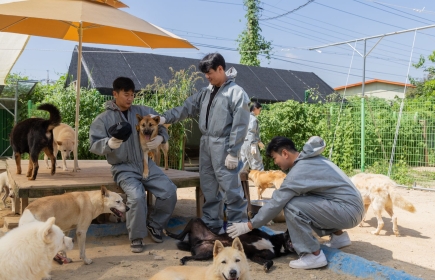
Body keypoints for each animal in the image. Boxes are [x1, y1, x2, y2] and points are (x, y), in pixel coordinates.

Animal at [165, 218, 294, 272]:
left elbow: (269, 261)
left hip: (204, 254)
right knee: (180, 236)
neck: (277, 244)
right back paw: (167, 232)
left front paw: (266, 266)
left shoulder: (256, 256)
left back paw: (182, 260)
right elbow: (249, 226)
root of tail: (196, 242)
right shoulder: (253, 232)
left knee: (188, 256)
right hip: (195, 220)